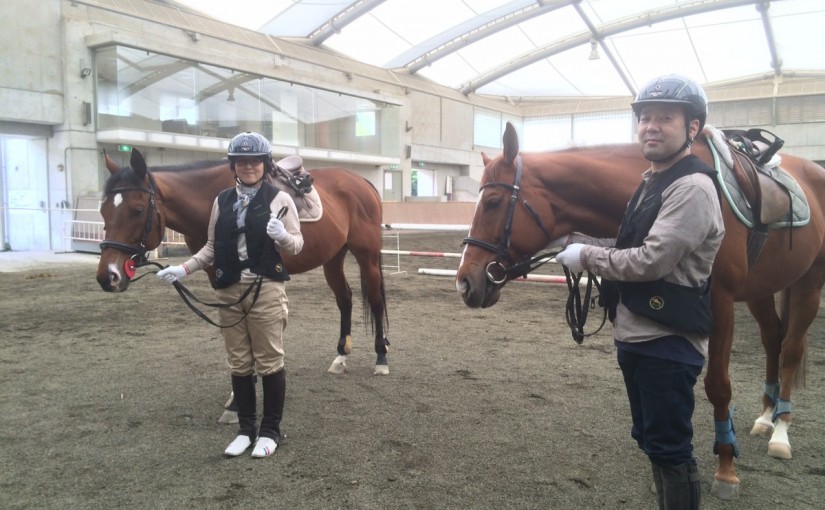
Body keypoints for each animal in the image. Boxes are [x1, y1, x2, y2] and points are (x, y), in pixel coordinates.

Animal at [96, 148, 390, 377]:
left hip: (366, 255)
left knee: (375, 300)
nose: (107, 276)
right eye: (103, 211)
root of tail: (361, 181)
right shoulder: (218, 273)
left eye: (137, 210)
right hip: (333, 258)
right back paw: (341, 357)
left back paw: (381, 357)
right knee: (345, 299)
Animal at [456, 122, 825, 500]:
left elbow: (718, 386)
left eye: (493, 202)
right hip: (761, 291)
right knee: (773, 341)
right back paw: (765, 417)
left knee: (791, 349)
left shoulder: (721, 302)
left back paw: (780, 431)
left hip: (809, 283)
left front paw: (726, 469)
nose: (465, 282)